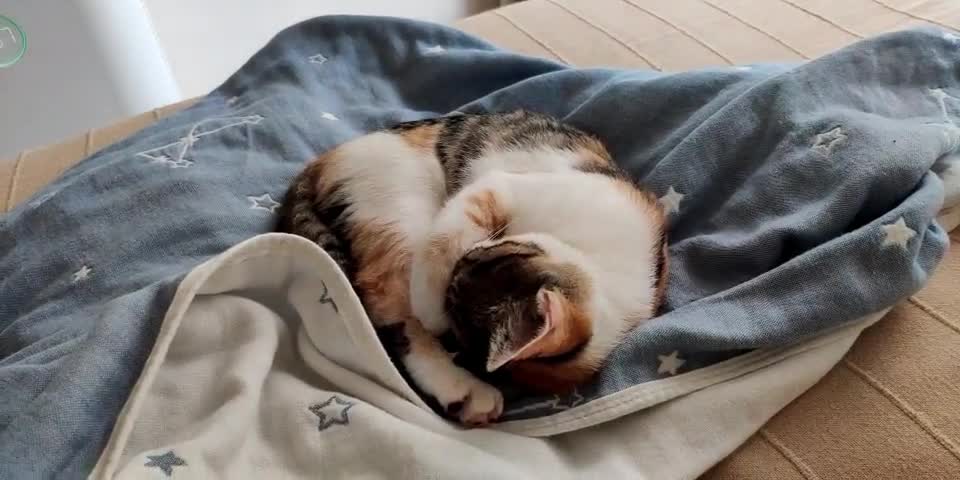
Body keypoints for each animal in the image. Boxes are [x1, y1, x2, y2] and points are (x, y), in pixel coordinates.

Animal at [278, 110, 668, 426]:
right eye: (494, 253)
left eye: (478, 263)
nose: (468, 256)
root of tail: (319, 161)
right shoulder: (503, 186)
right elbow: (447, 234)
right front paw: (430, 306)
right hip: (400, 203)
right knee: (386, 299)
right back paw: (460, 385)